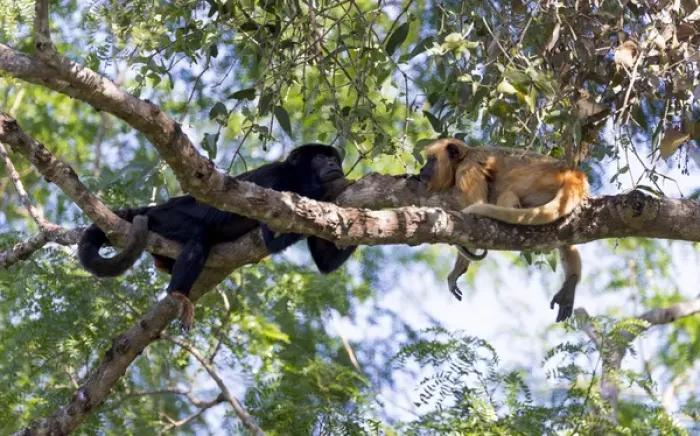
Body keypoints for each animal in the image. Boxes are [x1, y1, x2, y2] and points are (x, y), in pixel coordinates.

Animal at [79, 144, 357, 329]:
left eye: (333, 159)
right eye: (320, 158)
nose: (334, 166)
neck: (298, 180)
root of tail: (157, 207)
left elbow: (325, 262)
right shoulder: (274, 180)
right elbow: (270, 237)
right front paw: (333, 190)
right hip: (167, 218)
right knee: (199, 237)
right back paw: (178, 294)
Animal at [418, 138, 589, 322]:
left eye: (431, 160)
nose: (421, 169)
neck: (465, 156)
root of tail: (573, 173)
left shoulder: (467, 169)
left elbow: (475, 215)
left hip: (541, 182)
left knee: (507, 194)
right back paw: (571, 282)